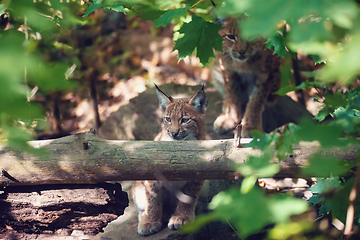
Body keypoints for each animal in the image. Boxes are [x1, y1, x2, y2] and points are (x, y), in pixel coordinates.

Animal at [131, 85, 207, 236]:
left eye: (185, 120)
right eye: (168, 119)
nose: (173, 133)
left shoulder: (198, 176)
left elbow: (189, 198)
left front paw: (182, 217)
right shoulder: (152, 176)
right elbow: (152, 200)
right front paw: (150, 222)